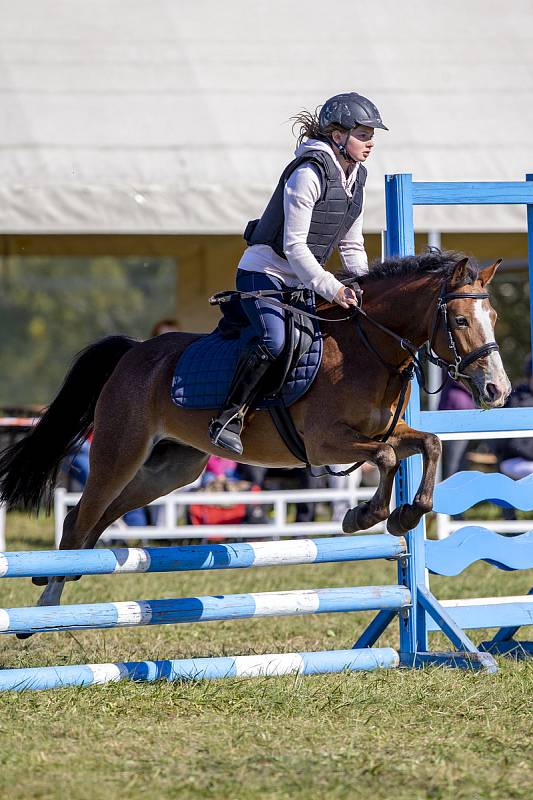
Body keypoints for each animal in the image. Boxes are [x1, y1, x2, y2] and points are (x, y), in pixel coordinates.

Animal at [0, 253, 510, 608]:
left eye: (494, 319)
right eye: (460, 320)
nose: (498, 389)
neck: (368, 348)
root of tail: (134, 351)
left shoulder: (388, 431)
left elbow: (431, 443)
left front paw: (408, 513)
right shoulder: (325, 442)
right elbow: (385, 458)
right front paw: (363, 515)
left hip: (171, 469)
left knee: (97, 518)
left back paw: (65, 575)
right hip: (118, 453)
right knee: (82, 515)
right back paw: (46, 602)